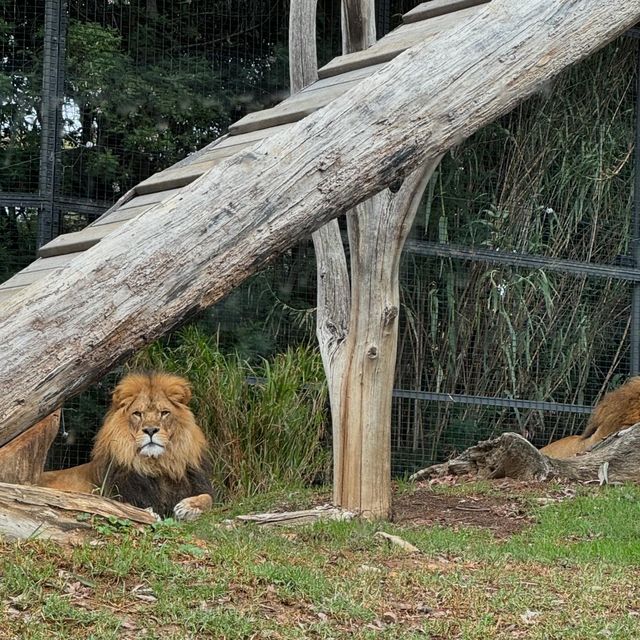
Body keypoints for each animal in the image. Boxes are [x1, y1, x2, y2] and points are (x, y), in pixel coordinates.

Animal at [40, 372, 215, 524]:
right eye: (138, 413)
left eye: (164, 413)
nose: (150, 430)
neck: (157, 466)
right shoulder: (115, 495)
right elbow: (128, 507)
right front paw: (150, 513)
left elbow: (209, 498)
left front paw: (187, 507)